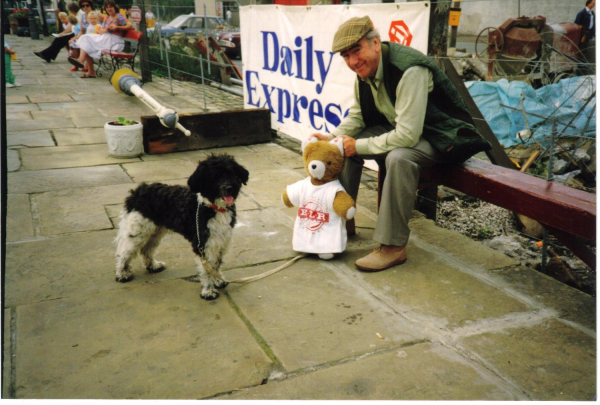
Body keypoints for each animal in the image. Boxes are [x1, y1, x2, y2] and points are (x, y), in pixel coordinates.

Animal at [115, 153, 248, 298]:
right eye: (215, 176)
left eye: (232, 173)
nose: (230, 188)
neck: (213, 207)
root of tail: (138, 191)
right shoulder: (202, 244)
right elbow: (207, 269)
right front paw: (208, 291)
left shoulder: (220, 241)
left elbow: (216, 265)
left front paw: (218, 280)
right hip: (137, 231)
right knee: (124, 252)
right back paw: (122, 274)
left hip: (155, 231)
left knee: (146, 249)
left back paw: (153, 266)